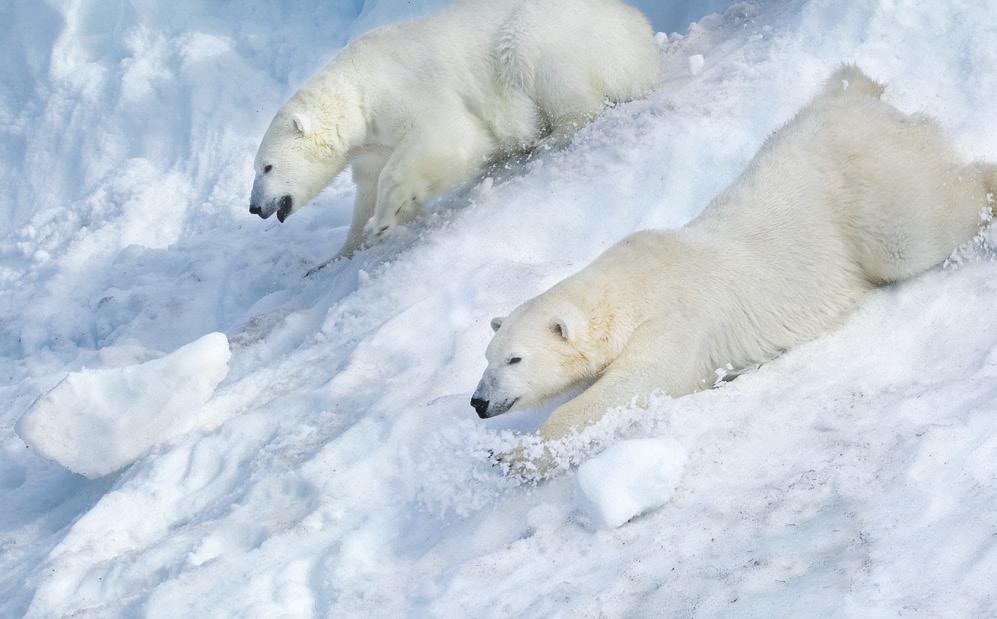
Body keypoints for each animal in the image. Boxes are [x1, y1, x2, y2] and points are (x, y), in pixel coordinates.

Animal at [247, 0, 660, 260]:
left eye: (266, 167)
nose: (254, 208)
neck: (358, 89)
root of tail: (639, 32)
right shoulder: (371, 145)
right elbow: (367, 185)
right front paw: (340, 252)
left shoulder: (405, 92)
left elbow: (448, 136)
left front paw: (386, 218)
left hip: (546, 36)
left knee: (549, 75)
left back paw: (549, 137)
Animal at [474, 66, 996, 474]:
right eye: (487, 357)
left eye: (514, 359)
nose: (478, 403)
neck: (631, 287)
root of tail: (862, 104)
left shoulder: (678, 321)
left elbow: (633, 386)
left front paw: (514, 458)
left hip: (868, 189)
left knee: (915, 230)